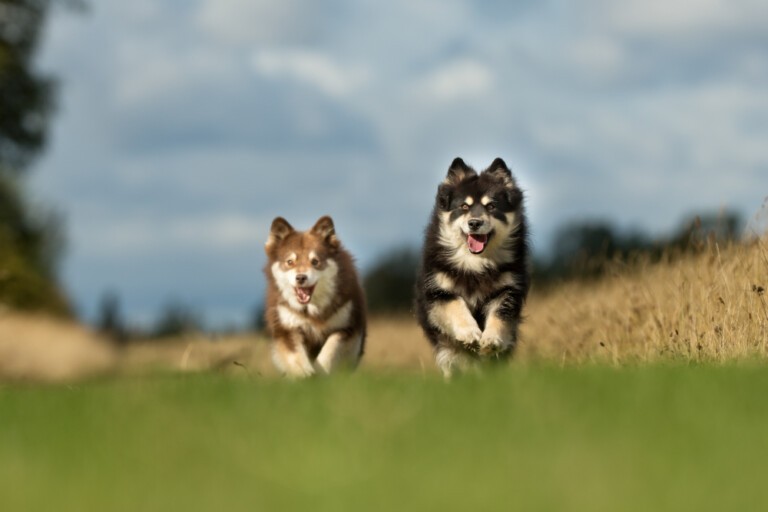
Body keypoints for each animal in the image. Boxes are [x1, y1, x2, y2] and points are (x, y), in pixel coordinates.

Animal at [264, 215, 366, 376]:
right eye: (290, 262)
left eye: (315, 261)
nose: (301, 278)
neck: (312, 310)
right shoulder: (287, 327)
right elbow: (295, 355)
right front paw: (305, 374)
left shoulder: (347, 327)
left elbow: (331, 348)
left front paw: (320, 372)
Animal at [416, 156, 532, 376]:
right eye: (464, 206)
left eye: (491, 206)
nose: (475, 223)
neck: (475, 264)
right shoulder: (439, 292)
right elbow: (456, 306)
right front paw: (470, 334)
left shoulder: (507, 291)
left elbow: (499, 315)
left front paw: (491, 339)